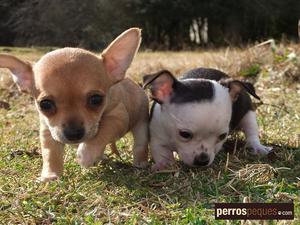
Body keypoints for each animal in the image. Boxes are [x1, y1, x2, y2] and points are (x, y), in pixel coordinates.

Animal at [0, 28, 149, 182]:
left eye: (96, 100)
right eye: (45, 105)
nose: (73, 133)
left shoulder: (118, 118)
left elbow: (102, 132)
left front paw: (86, 154)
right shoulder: (48, 130)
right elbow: (50, 153)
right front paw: (50, 175)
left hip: (141, 124)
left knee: (140, 144)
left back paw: (140, 162)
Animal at [143, 67, 272, 171]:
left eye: (222, 136)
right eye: (184, 134)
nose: (202, 160)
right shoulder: (158, 134)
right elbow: (162, 152)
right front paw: (165, 165)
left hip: (248, 113)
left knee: (251, 131)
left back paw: (257, 147)